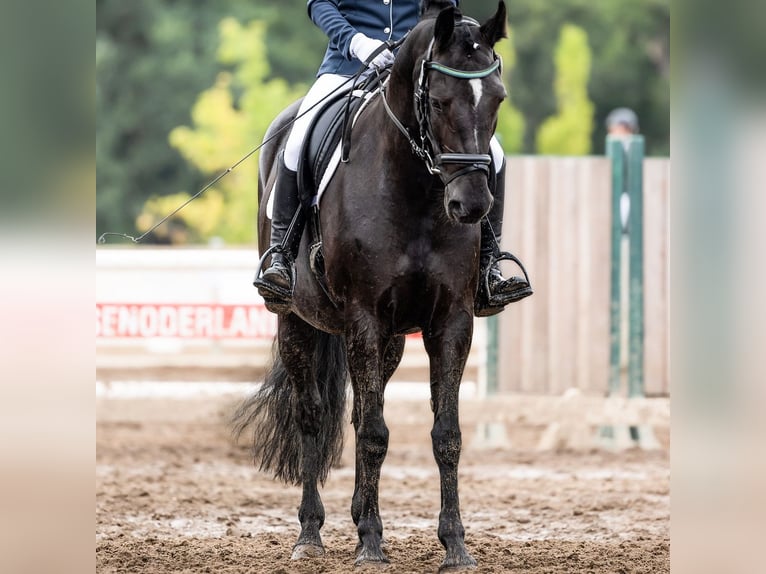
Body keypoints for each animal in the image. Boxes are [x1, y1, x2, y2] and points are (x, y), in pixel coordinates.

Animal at [232, 0, 510, 568]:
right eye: (439, 101)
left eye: (496, 97)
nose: (471, 205)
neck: (417, 192)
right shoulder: (363, 316)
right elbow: (375, 433)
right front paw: (372, 547)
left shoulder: (451, 320)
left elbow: (445, 434)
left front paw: (454, 546)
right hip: (298, 321)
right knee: (313, 415)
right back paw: (311, 535)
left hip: (390, 340)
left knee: (362, 412)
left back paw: (360, 514)